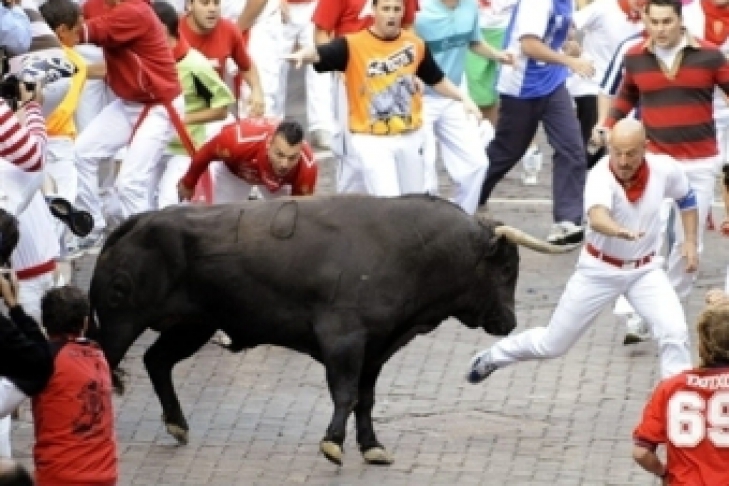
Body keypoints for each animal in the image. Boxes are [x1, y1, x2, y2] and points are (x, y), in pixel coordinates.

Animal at [88, 194, 576, 466]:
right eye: (507, 267)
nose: (509, 322)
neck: (410, 250)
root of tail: (138, 221)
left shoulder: (378, 348)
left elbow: (366, 397)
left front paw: (372, 446)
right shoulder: (344, 340)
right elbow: (345, 394)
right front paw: (333, 443)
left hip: (192, 327)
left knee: (156, 361)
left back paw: (177, 425)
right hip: (120, 322)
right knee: (105, 361)